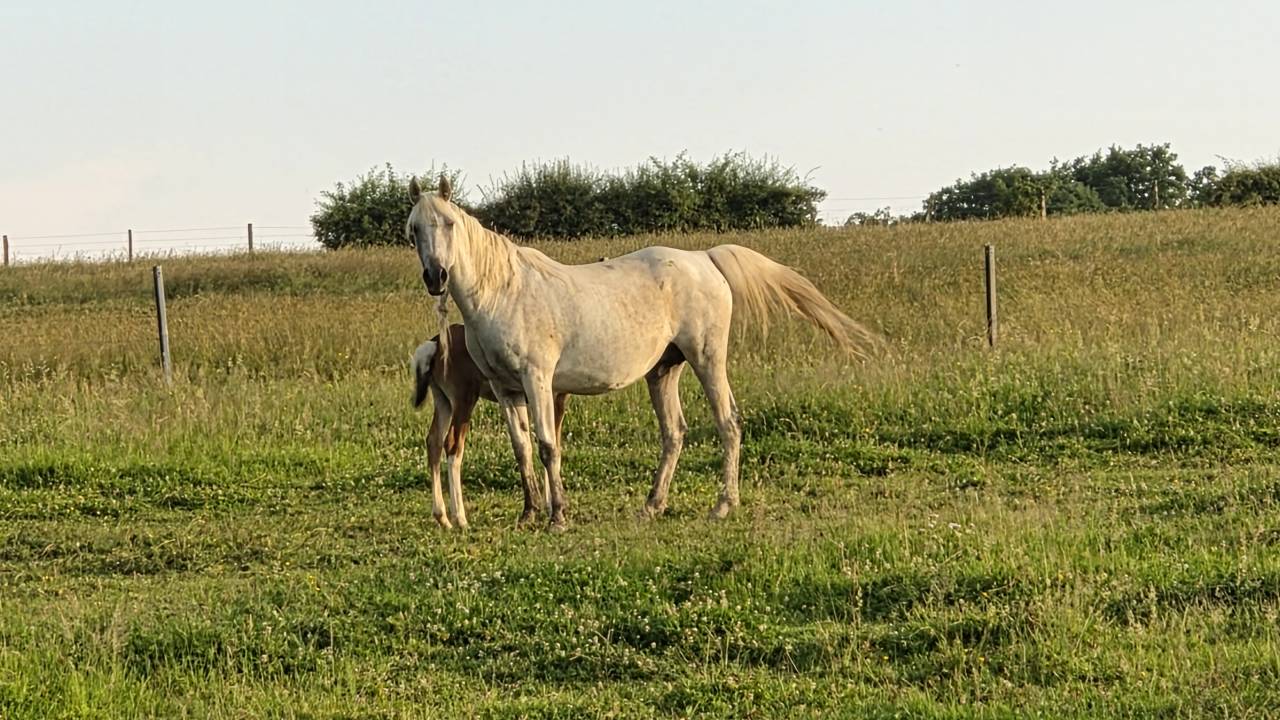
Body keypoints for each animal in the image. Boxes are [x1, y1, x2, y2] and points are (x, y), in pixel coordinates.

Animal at [412, 323, 568, 528]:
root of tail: (435, 344)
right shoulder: (554, 398)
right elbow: (551, 445)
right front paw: (554, 508)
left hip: (443, 401)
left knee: (434, 442)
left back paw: (443, 518)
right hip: (464, 399)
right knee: (453, 444)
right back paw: (460, 519)